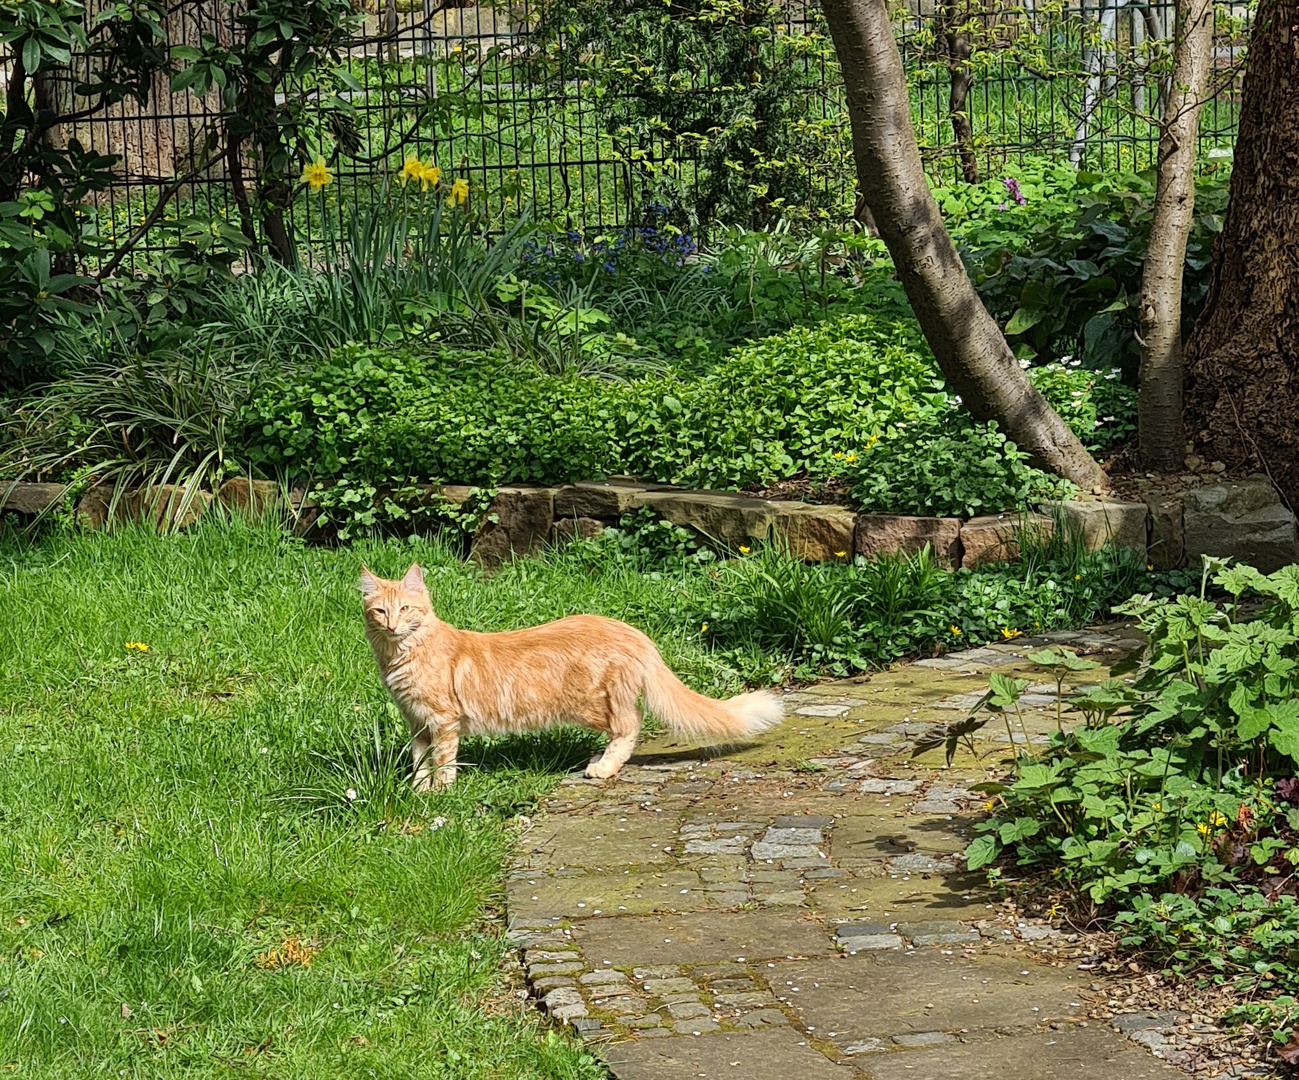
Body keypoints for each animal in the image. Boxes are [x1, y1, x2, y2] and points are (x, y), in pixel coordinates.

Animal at [358, 569, 779, 790]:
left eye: (406, 609)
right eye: (380, 611)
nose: (392, 626)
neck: (401, 655)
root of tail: (634, 633)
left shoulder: (443, 720)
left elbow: (443, 762)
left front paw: (440, 794)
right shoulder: (417, 723)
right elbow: (420, 763)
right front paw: (418, 791)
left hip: (588, 702)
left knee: (630, 724)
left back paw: (603, 767)